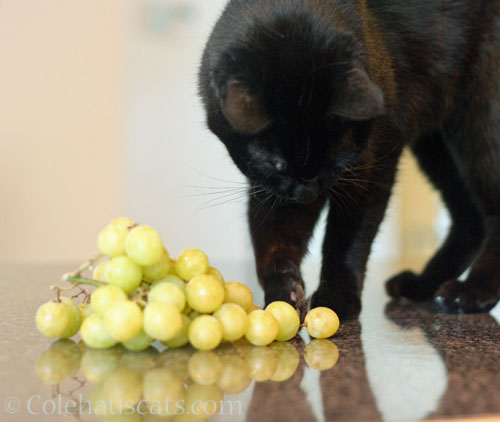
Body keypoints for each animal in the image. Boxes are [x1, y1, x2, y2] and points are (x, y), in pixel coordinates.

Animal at [198, 0, 500, 318]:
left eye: (335, 158)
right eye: (276, 163)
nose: (307, 192)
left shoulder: (370, 167)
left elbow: (347, 241)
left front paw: (336, 298)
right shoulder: (273, 190)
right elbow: (274, 237)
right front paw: (285, 291)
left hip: (480, 121)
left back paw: (470, 293)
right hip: (436, 145)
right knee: (470, 217)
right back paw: (421, 286)